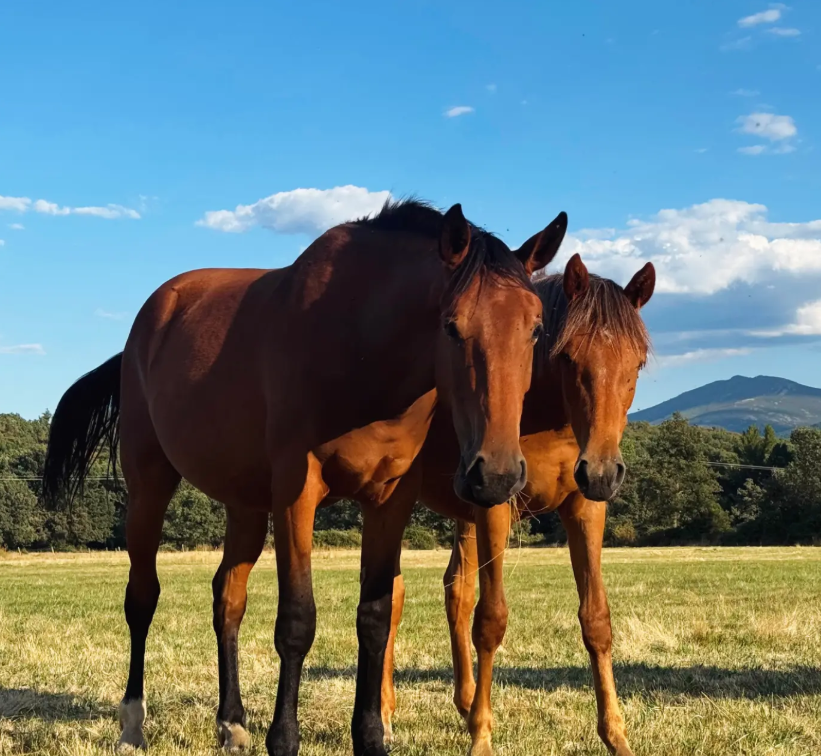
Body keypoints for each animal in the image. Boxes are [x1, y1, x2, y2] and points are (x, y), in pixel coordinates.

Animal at [42, 199, 568, 756]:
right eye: (451, 325)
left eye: (536, 328)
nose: (497, 474)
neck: (359, 348)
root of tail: (150, 320)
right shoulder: (298, 493)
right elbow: (297, 621)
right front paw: (285, 739)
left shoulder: (390, 500)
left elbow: (374, 618)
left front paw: (371, 737)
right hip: (149, 485)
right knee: (142, 598)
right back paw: (132, 724)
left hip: (245, 504)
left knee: (228, 599)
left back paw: (232, 724)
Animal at [380, 254, 656, 756]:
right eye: (567, 355)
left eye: (637, 362)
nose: (603, 471)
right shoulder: (497, 507)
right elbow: (491, 620)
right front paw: (482, 737)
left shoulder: (584, 508)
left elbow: (596, 619)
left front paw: (616, 736)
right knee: (393, 595)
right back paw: (387, 716)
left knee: (455, 590)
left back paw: (464, 701)